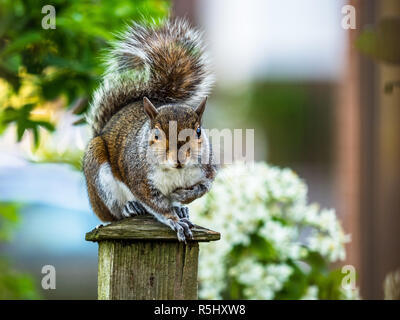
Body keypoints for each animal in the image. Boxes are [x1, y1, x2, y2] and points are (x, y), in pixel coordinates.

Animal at [82, 18, 217, 241]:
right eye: (156, 135)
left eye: (198, 132)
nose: (179, 158)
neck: (176, 172)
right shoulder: (140, 180)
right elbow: (157, 205)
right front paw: (175, 221)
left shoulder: (207, 171)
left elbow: (202, 189)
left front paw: (182, 197)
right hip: (99, 172)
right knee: (113, 211)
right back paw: (130, 207)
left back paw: (180, 207)